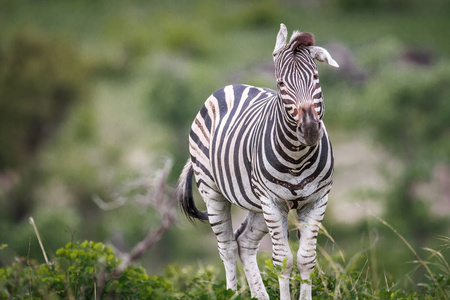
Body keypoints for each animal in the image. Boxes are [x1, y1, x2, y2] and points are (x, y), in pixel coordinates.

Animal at [178, 24, 340, 300]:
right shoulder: (273, 201)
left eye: (316, 78)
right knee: (227, 247)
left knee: (244, 243)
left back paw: (259, 295)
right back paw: (231, 293)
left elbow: (306, 259)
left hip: (257, 205)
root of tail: (230, 86)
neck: (297, 158)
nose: (309, 129)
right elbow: (283, 261)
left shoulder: (317, 200)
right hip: (214, 191)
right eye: (281, 83)